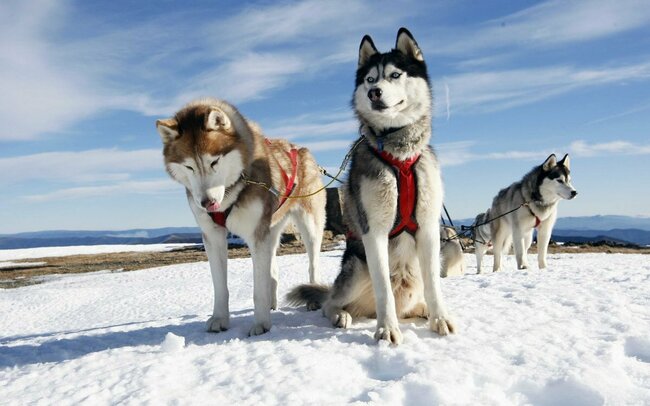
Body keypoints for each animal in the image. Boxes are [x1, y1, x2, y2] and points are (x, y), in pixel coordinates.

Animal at [155, 98, 326, 336]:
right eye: (189, 166)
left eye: (214, 162)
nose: (207, 203)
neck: (233, 189)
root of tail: (299, 149)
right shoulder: (213, 236)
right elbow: (220, 286)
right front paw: (219, 318)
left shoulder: (256, 235)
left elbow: (258, 288)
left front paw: (261, 324)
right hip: (271, 228)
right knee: (272, 267)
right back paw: (272, 302)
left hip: (309, 225)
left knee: (312, 263)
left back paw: (312, 295)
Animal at [286, 29, 454, 346]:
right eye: (369, 79)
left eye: (395, 74)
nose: (374, 93)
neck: (400, 154)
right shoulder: (374, 231)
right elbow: (383, 290)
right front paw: (386, 330)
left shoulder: (428, 229)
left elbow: (435, 286)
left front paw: (440, 319)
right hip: (356, 267)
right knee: (331, 302)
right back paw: (341, 315)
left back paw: (422, 310)